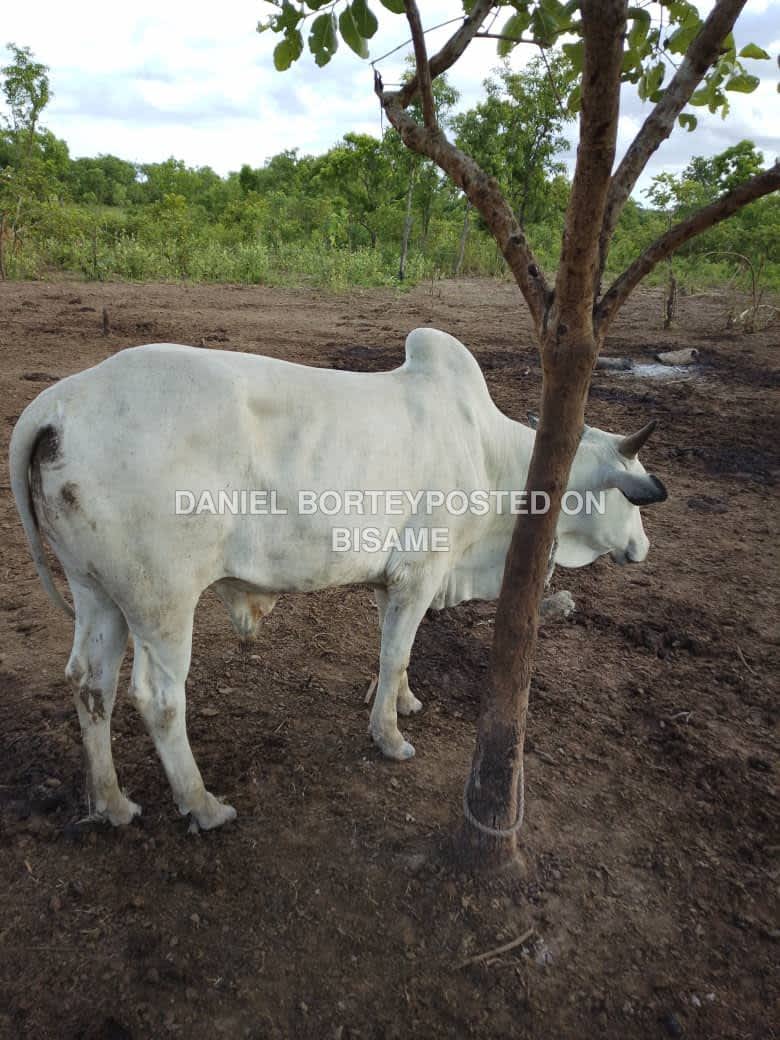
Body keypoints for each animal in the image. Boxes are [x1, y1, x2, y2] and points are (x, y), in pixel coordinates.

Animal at [9, 328, 667, 830]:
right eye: (629, 496)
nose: (642, 546)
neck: (489, 454)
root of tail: (60, 402)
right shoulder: (422, 571)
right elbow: (397, 653)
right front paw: (389, 737)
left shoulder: (390, 582)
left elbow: (393, 654)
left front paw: (402, 701)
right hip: (161, 600)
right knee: (159, 698)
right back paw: (202, 804)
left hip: (98, 591)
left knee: (89, 682)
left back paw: (112, 803)